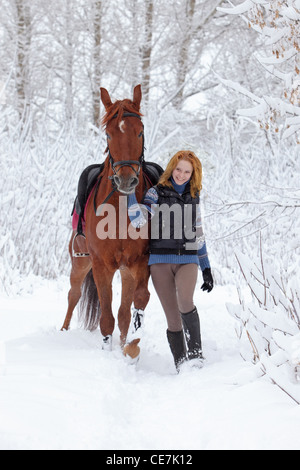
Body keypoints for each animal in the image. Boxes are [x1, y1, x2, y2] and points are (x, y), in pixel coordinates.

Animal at [61, 86, 150, 362]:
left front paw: (130, 348)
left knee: (122, 313)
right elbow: (106, 318)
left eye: (140, 130)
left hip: (125, 270)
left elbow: (136, 303)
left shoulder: (139, 263)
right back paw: (62, 331)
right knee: (74, 294)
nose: (126, 180)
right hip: (80, 262)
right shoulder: (101, 265)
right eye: (109, 134)